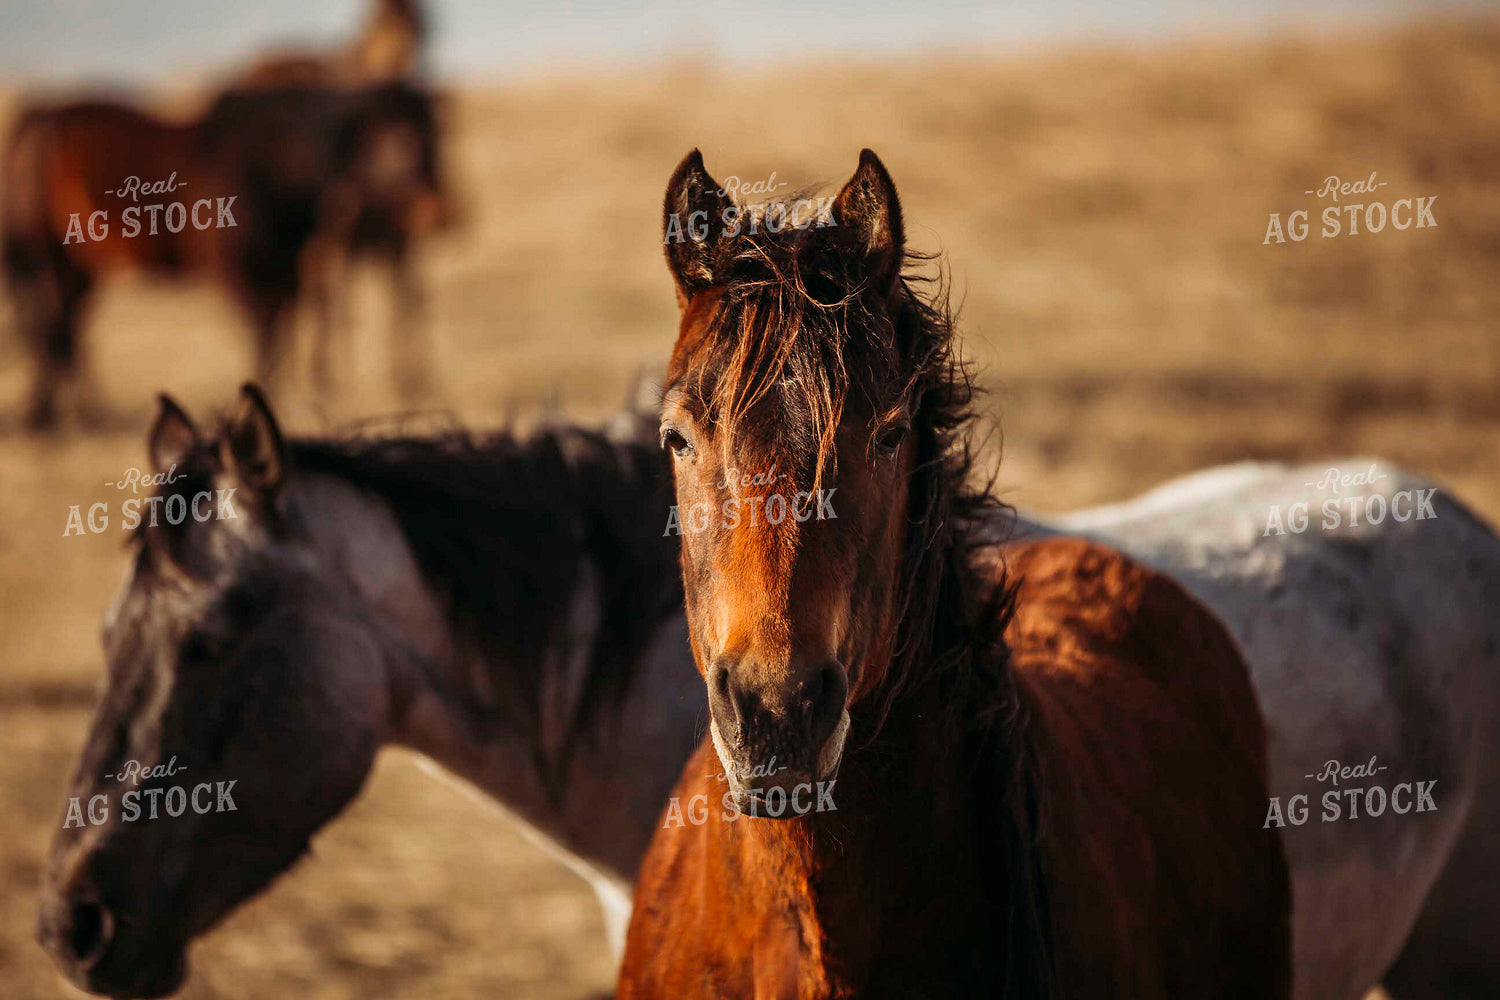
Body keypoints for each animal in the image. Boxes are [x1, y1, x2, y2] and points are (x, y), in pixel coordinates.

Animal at [1, 80, 447, 428]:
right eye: (384, 139)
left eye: (429, 135)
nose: (429, 207)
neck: (272, 171)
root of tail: (41, 120)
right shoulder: (246, 282)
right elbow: (264, 345)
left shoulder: (287, 279)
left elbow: (281, 345)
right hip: (52, 258)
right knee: (54, 330)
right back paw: (64, 416)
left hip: (78, 269)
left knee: (62, 330)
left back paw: (68, 413)